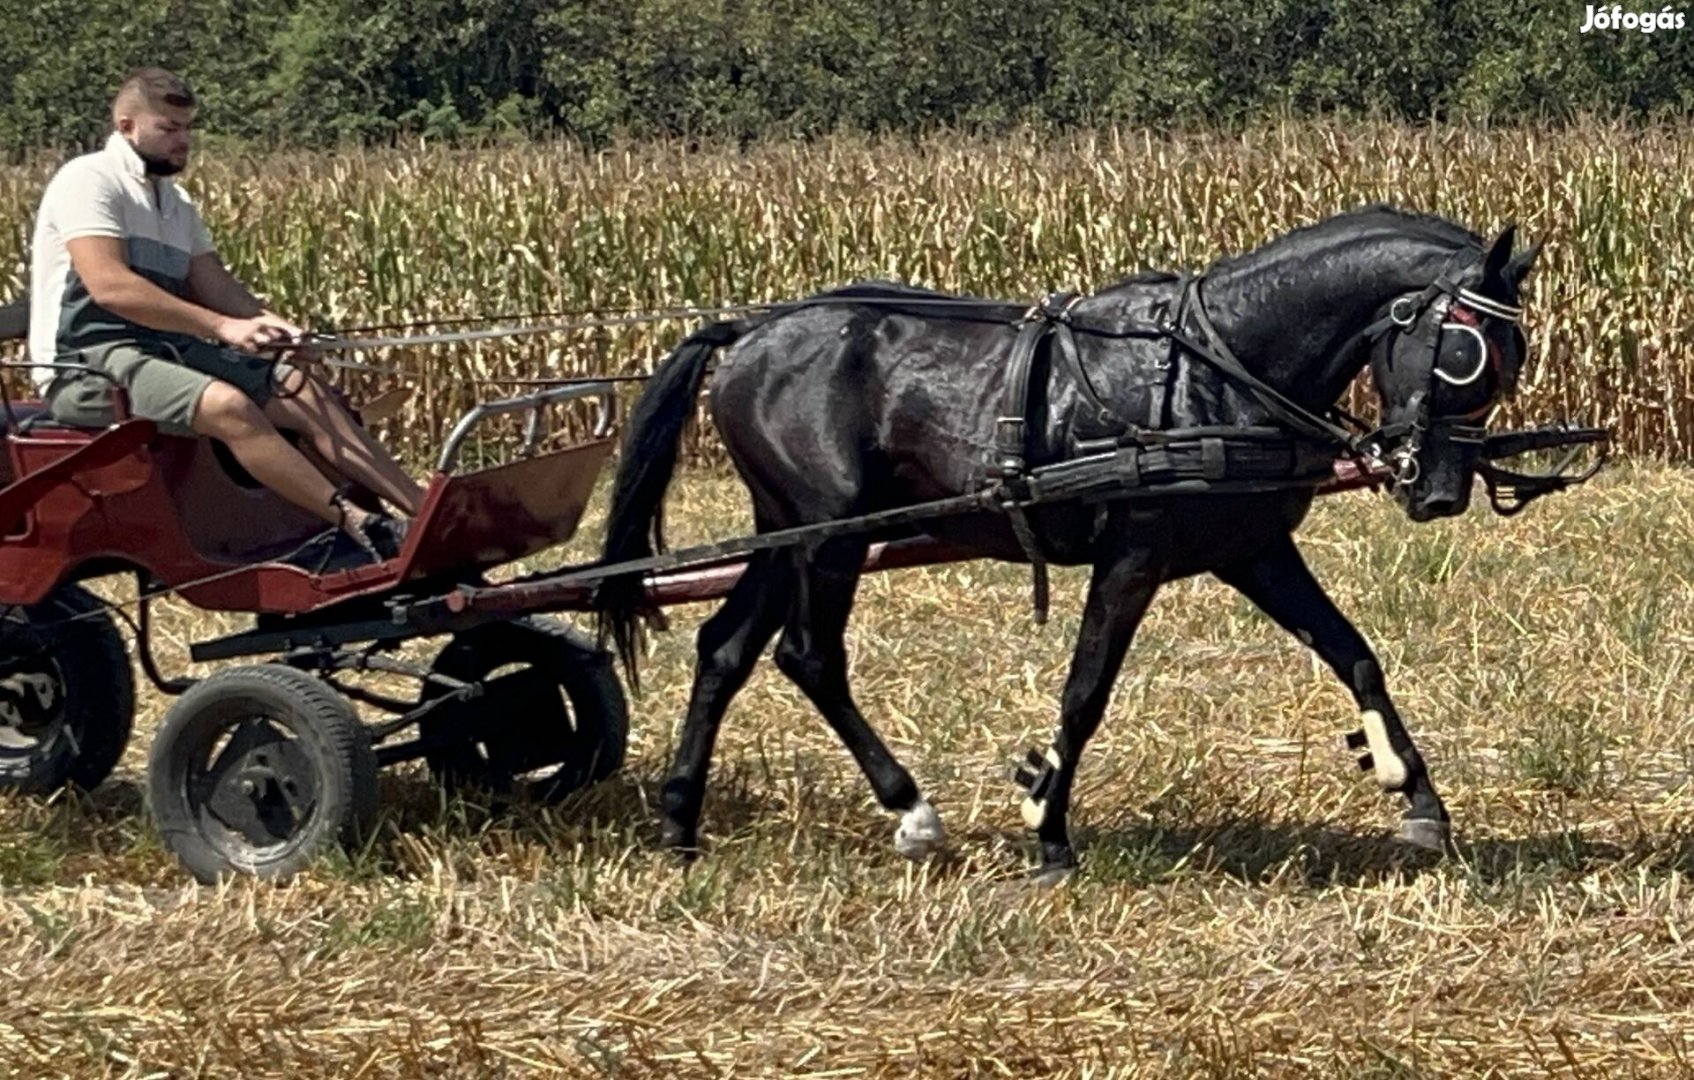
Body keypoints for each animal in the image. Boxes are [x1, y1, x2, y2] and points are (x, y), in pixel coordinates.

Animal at [596, 204, 1538, 880]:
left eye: (1514, 354)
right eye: (1463, 351)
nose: (1440, 492)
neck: (1216, 369)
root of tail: (749, 331)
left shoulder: (1254, 551)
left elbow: (1355, 654)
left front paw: (1417, 798)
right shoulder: (1133, 559)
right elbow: (1085, 692)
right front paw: (1047, 826)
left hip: (784, 530)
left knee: (725, 649)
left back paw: (680, 821)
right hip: (829, 538)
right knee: (809, 656)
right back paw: (912, 813)